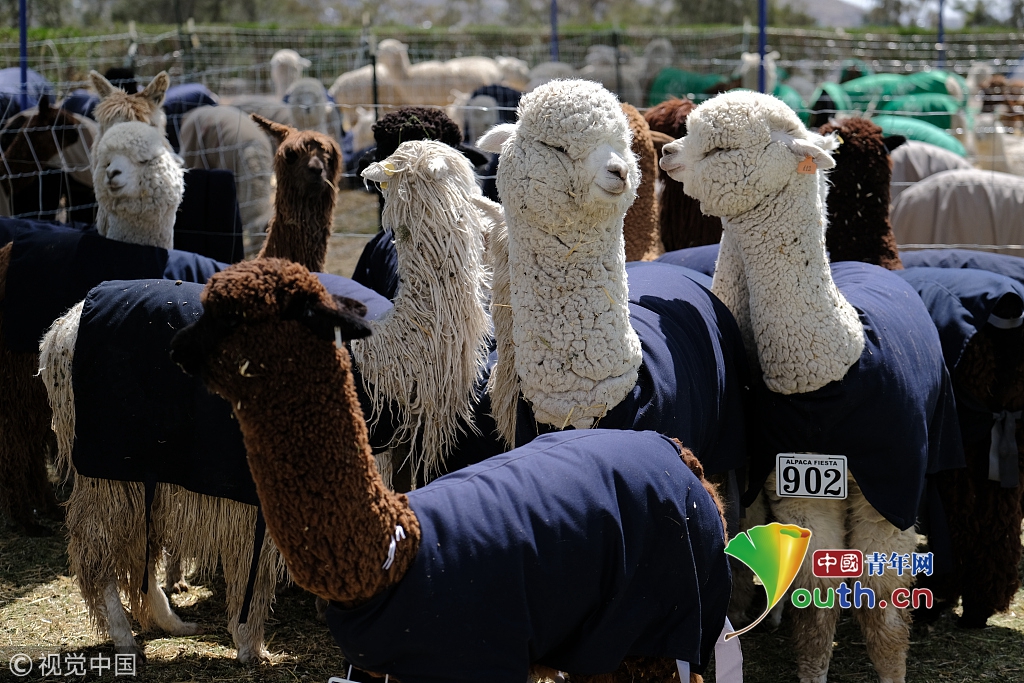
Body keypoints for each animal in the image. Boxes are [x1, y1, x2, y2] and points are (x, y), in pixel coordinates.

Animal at [168, 256, 730, 683]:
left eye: (234, 316)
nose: (178, 348)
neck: (398, 548)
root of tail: (676, 453)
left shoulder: (475, 654)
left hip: (655, 619)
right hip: (604, 638)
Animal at [660, 90, 965, 683]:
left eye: (724, 147)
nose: (666, 154)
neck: (828, 369)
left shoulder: (891, 487)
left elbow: (884, 608)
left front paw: (892, 672)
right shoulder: (800, 488)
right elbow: (817, 602)